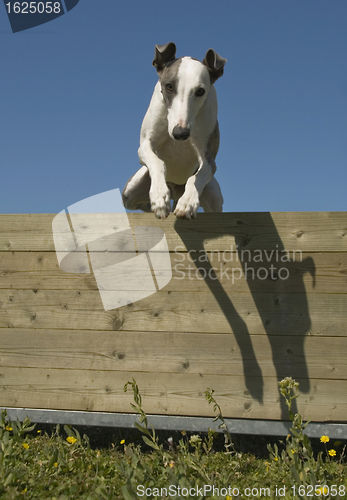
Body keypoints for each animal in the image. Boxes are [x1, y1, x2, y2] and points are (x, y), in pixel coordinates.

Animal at [123, 40, 227, 217]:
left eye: (200, 91)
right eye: (169, 86)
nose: (180, 133)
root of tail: (175, 191)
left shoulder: (209, 159)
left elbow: (197, 176)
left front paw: (188, 202)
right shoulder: (145, 145)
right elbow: (158, 162)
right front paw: (159, 196)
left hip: (214, 195)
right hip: (130, 191)